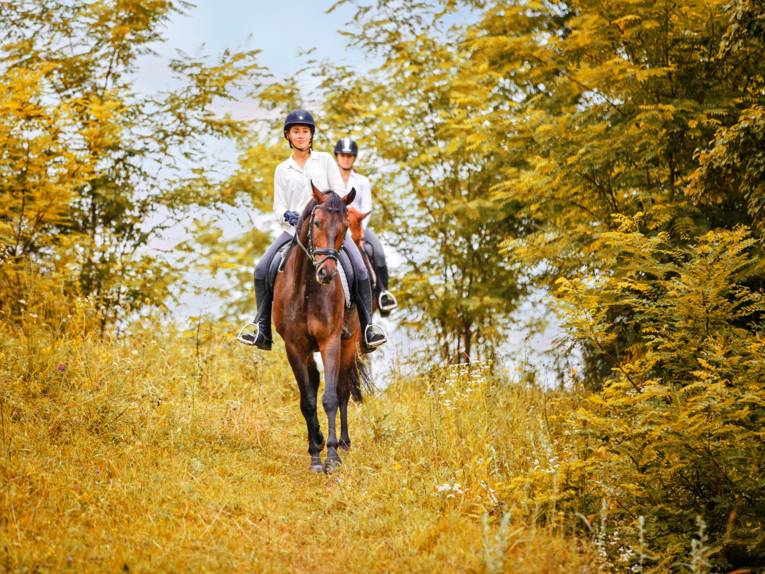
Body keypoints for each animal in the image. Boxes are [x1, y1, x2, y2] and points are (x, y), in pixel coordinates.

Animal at [274, 183, 372, 472]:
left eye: (344, 227)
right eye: (316, 222)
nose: (326, 273)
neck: (307, 288)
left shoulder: (330, 342)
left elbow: (330, 398)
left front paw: (332, 457)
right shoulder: (294, 347)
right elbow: (307, 401)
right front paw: (315, 455)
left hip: (349, 343)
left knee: (342, 391)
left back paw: (344, 443)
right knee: (315, 383)